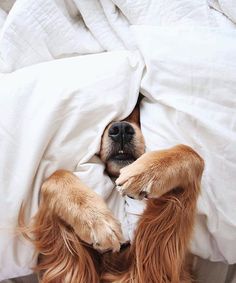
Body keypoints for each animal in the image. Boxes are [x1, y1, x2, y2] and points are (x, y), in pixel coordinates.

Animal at [19, 98, 205, 283]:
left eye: (139, 107)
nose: (121, 129)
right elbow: (54, 176)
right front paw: (96, 220)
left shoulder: (156, 266)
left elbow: (193, 153)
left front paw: (144, 172)